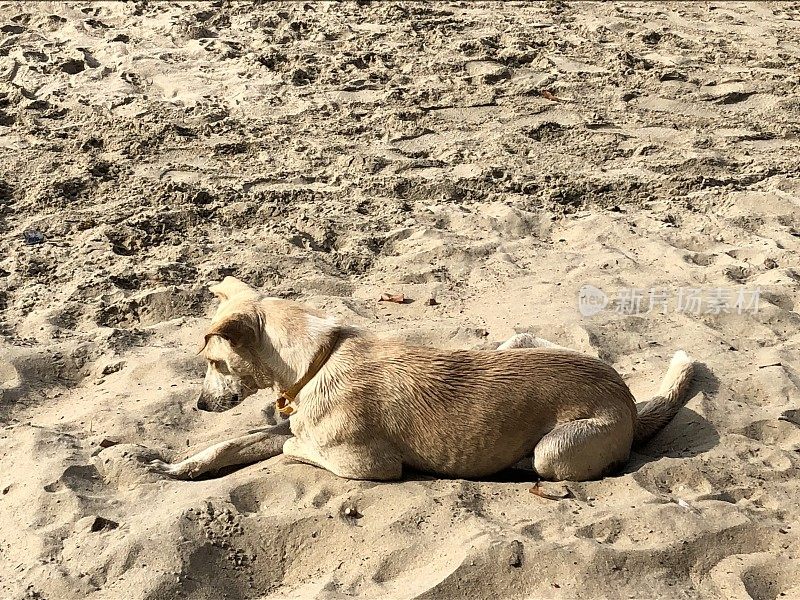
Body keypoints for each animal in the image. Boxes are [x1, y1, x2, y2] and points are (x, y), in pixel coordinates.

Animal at [148, 278, 692, 482]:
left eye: (216, 364)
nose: (199, 407)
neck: (318, 359)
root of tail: (626, 396)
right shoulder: (286, 422)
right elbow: (238, 441)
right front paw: (181, 465)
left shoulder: (371, 465)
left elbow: (288, 447)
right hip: (518, 340)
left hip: (554, 450)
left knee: (545, 460)